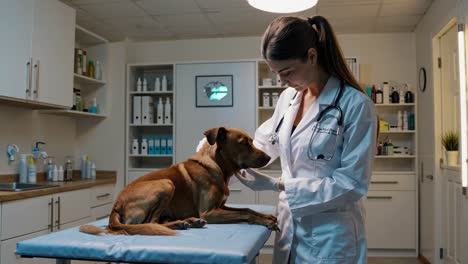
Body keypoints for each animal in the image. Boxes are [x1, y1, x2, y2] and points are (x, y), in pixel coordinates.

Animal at [80, 127, 278, 236]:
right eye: (243, 143)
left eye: (251, 141)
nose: (269, 157)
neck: (217, 166)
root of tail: (116, 205)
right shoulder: (209, 212)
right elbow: (245, 214)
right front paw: (265, 221)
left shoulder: (220, 206)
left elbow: (247, 209)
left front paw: (266, 216)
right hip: (166, 183)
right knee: (152, 222)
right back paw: (182, 223)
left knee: (158, 221)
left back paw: (189, 221)